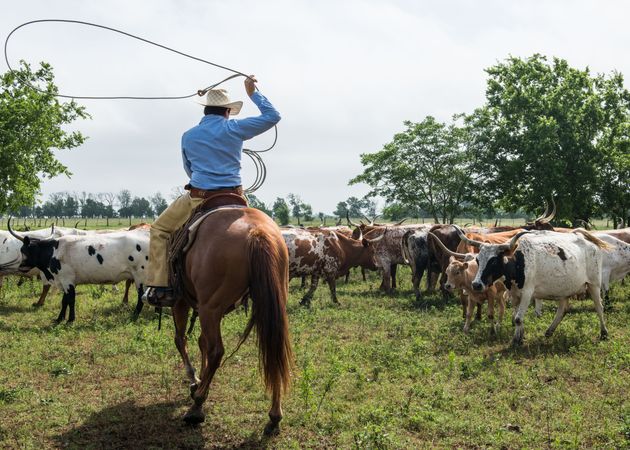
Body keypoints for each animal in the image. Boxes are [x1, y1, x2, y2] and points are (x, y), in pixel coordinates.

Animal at [170, 208, 294, 436]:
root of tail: (256, 233)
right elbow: (201, 342)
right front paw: (200, 381)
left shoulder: (182, 299)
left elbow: (181, 339)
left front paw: (195, 382)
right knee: (276, 353)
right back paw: (274, 416)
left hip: (210, 307)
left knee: (216, 351)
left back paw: (197, 406)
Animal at [464, 230, 612, 346]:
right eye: (477, 260)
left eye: (493, 261)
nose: (476, 284)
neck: (518, 261)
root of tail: (590, 242)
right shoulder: (514, 294)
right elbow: (517, 316)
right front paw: (520, 336)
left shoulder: (527, 293)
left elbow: (518, 318)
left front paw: (515, 341)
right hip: (564, 288)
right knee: (562, 309)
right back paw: (549, 331)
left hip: (594, 284)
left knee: (599, 307)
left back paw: (604, 333)